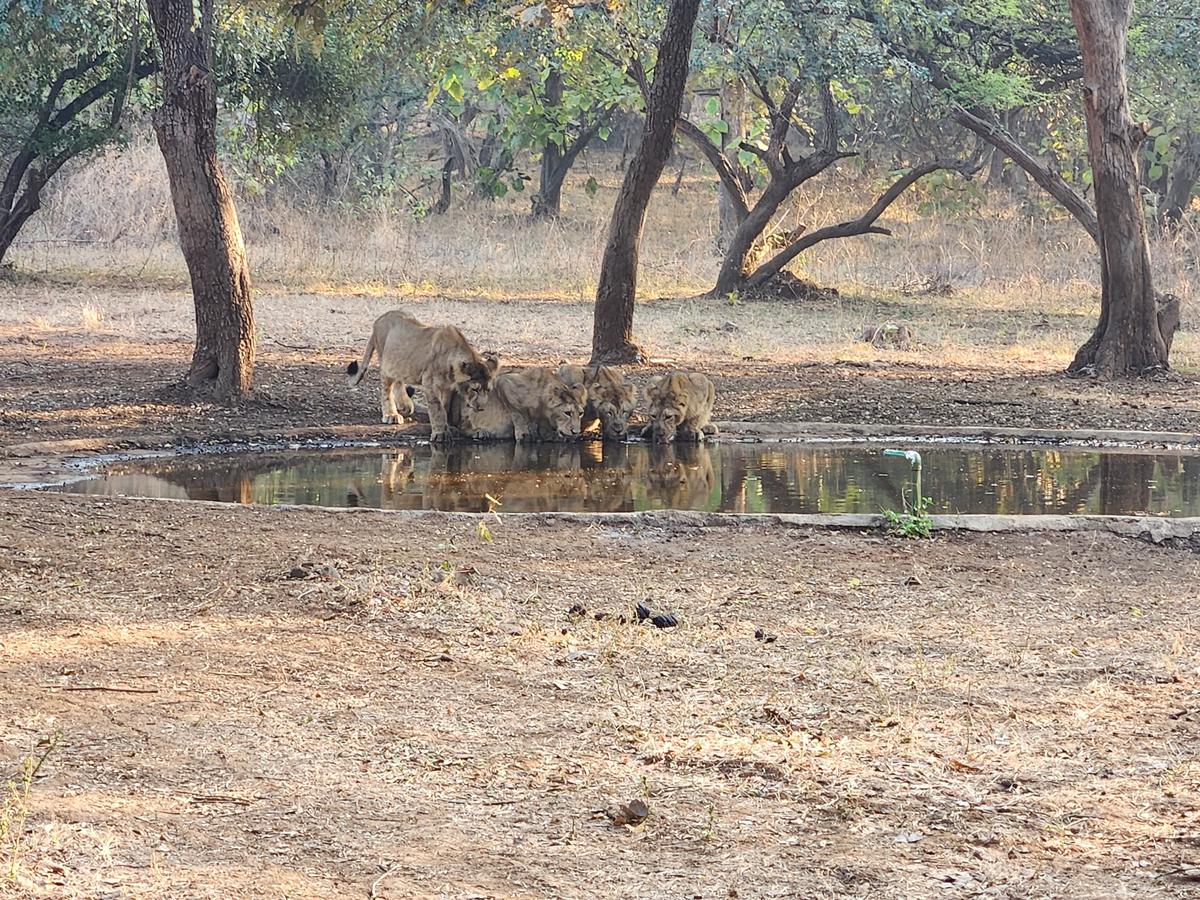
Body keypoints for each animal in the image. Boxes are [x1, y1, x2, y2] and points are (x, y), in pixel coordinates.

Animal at [346, 310, 498, 443]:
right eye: (475, 389)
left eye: (488, 390)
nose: (481, 408)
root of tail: (379, 319)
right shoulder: (429, 383)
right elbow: (438, 409)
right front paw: (441, 433)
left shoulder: (448, 388)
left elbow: (446, 407)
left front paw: (450, 428)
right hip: (385, 362)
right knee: (386, 389)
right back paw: (391, 415)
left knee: (398, 381)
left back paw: (405, 405)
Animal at [450, 366, 587, 443]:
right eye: (567, 413)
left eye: (580, 413)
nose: (576, 432)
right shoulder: (505, 383)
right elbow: (519, 414)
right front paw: (524, 434)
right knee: (461, 425)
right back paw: (479, 432)